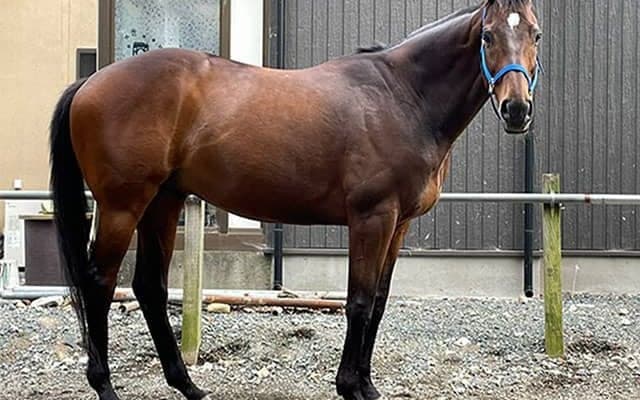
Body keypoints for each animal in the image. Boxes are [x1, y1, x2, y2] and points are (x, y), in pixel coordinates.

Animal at [49, 0, 541, 399]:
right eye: (487, 35)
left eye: (535, 34)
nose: (517, 110)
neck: (403, 97)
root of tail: (90, 82)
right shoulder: (372, 218)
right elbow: (359, 301)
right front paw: (350, 387)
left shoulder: (399, 225)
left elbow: (379, 302)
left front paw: (367, 384)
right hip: (123, 206)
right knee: (99, 283)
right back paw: (106, 386)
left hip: (163, 202)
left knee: (149, 286)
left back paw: (187, 385)